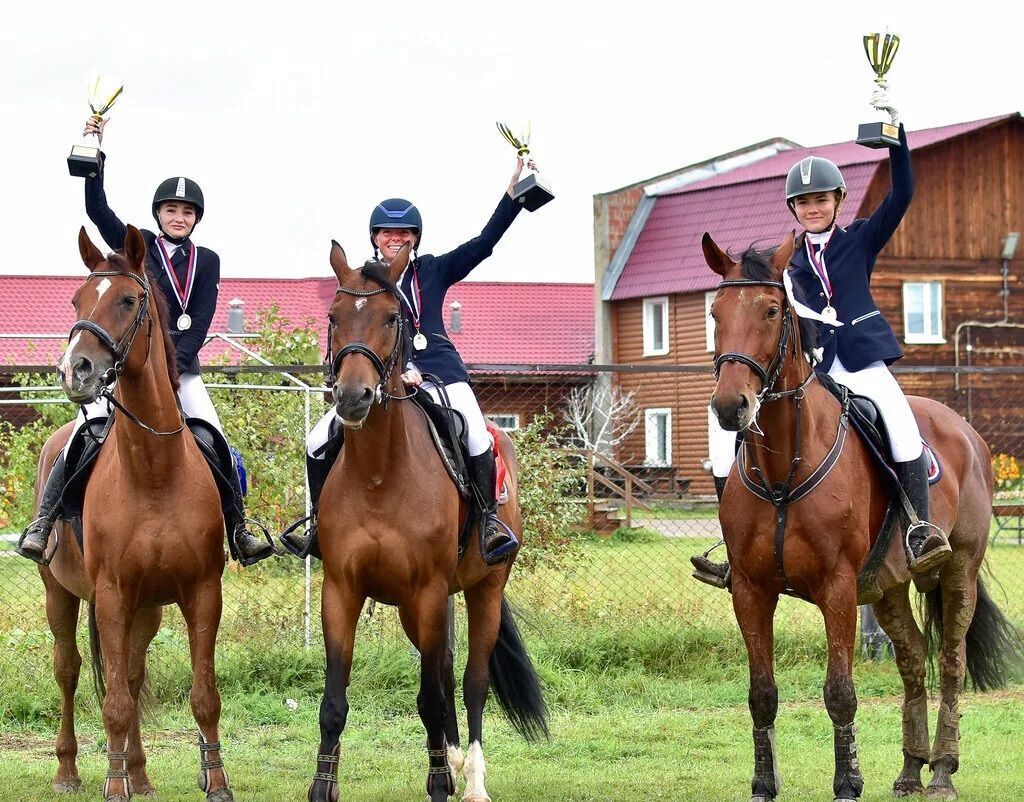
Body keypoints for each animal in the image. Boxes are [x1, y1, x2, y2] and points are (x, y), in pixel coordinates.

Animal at [35, 227, 234, 802]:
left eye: (127, 300)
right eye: (77, 300)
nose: (74, 370)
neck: (153, 471)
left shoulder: (201, 592)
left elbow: (202, 694)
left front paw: (216, 780)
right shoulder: (109, 595)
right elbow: (115, 703)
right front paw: (112, 784)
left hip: (146, 609)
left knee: (133, 671)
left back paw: (141, 774)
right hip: (60, 594)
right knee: (70, 670)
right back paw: (70, 771)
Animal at [303, 242, 548, 802]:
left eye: (393, 318)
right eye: (333, 317)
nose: (352, 398)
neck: (378, 474)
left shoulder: (430, 590)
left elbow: (434, 698)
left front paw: (438, 781)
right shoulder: (341, 590)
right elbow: (334, 703)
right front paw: (323, 787)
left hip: (482, 589)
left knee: (471, 681)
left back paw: (472, 778)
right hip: (418, 611)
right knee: (443, 671)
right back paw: (454, 760)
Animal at [704, 232, 1024, 802]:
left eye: (771, 310)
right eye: (715, 313)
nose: (729, 407)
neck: (784, 466)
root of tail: (966, 430)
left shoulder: (837, 587)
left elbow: (840, 692)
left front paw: (848, 782)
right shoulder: (750, 588)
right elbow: (761, 692)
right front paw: (764, 783)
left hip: (958, 571)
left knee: (951, 662)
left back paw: (942, 770)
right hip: (889, 584)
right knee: (913, 658)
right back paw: (911, 768)